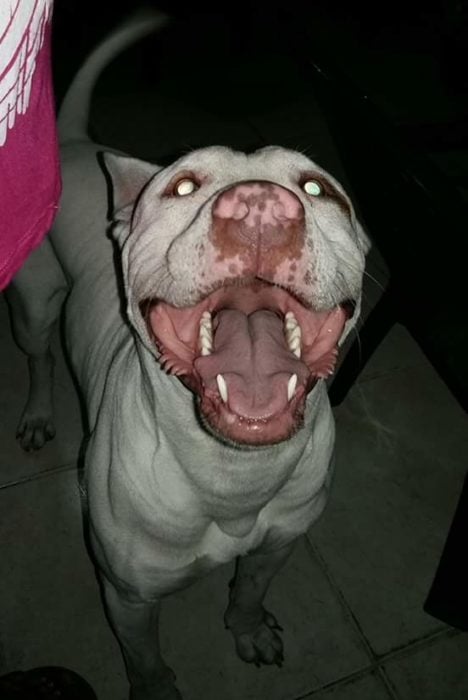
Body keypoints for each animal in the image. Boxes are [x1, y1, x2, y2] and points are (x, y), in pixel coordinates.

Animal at [6, 10, 370, 700]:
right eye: (180, 186)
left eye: (319, 188)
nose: (260, 207)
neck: (231, 475)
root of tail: (75, 145)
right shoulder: (128, 597)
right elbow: (145, 658)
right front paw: (156, 689)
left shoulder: (276, 547)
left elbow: (249, 589)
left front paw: (248, 629)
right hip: (37, 303)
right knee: (37, 356)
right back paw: (37, 414)